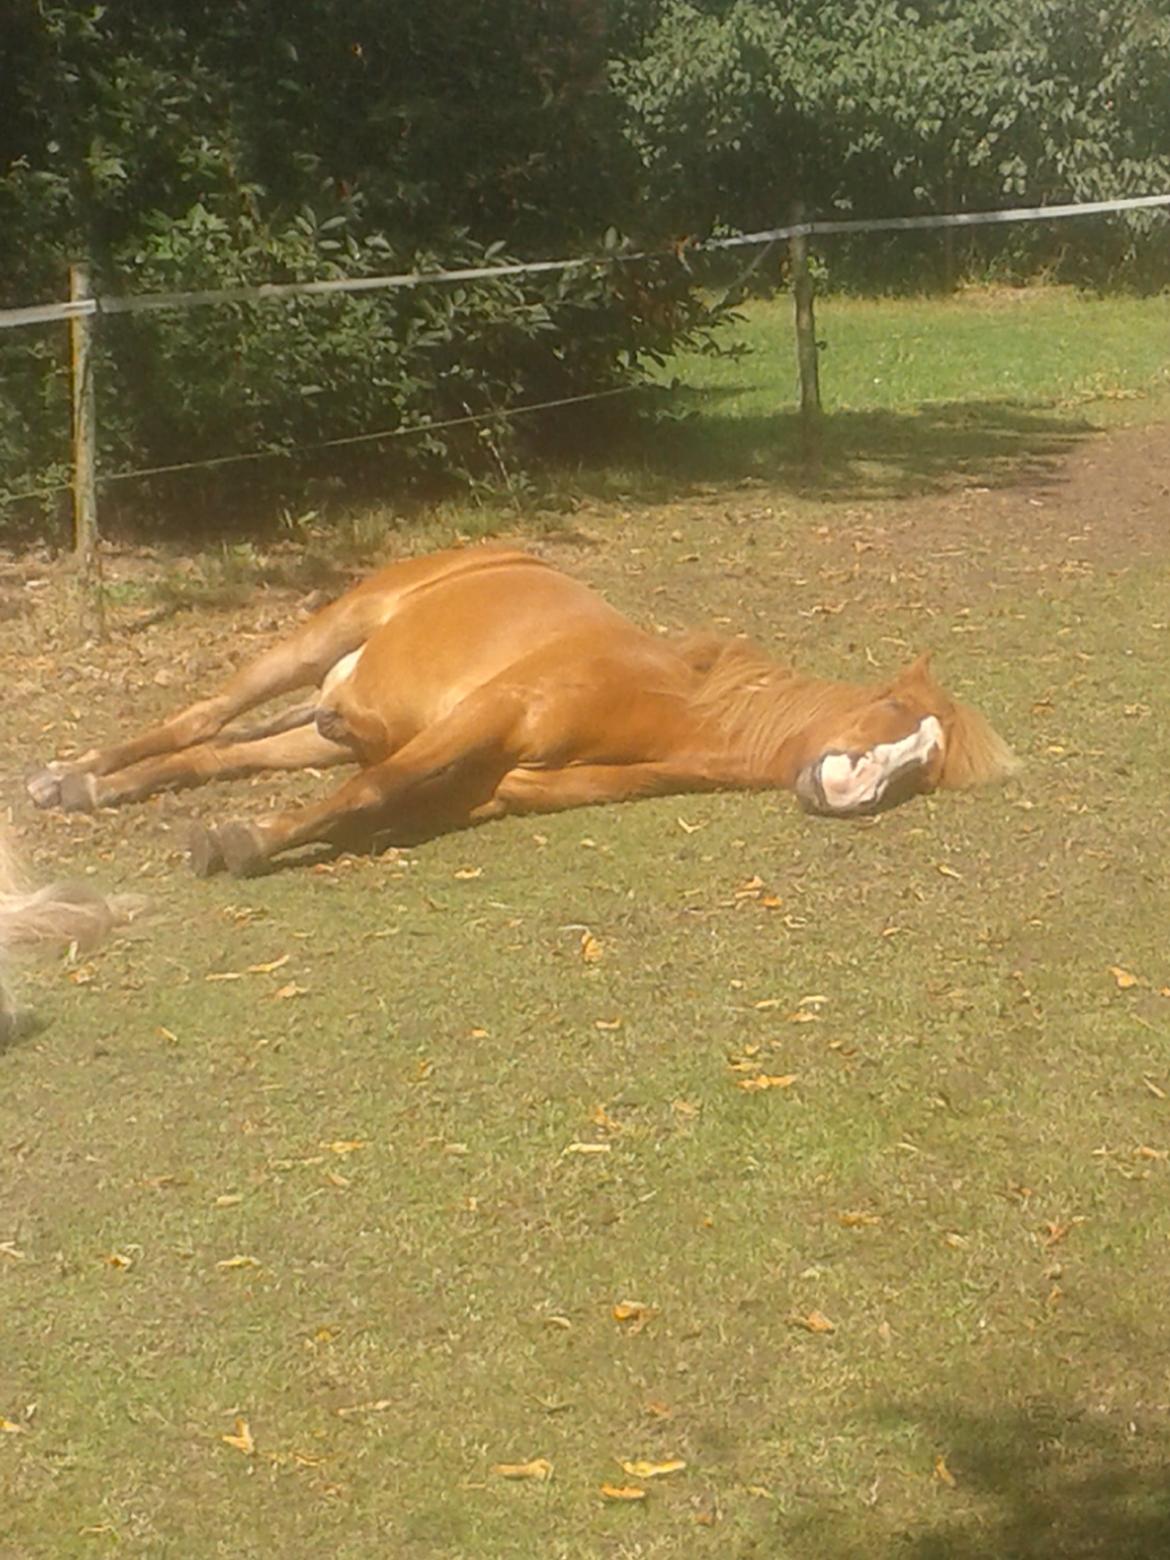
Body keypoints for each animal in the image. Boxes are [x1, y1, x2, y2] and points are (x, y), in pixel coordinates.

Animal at [22, 546, 1023, 879]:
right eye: (886, 710)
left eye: (926, 768)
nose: (853, 789)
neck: (660, 701)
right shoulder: (493, 714)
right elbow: (372, 791)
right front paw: (239, 844)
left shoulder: (485, 790)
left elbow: (376, 801)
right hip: (319, 636)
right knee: (200, 717)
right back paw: (67, 776)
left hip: (314, 727)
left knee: (215, 753)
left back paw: (91, 790)